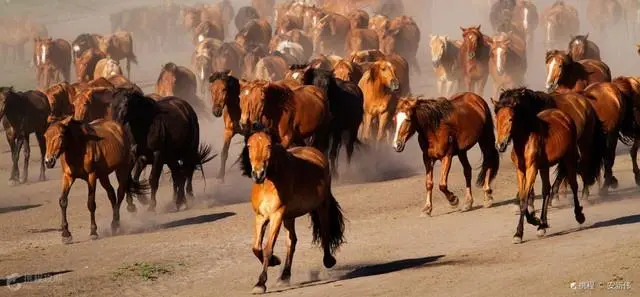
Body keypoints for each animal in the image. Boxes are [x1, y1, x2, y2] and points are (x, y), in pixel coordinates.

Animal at [239, 129, 344, 294]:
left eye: (269, 145)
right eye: (249, 146)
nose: (258, 174)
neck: (268, 183)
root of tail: (316, 153)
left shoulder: (276, 215)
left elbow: (268, 248)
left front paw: (261, 283)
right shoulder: (261, 217)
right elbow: (256, 247)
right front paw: (274, 261)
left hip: (322, 205)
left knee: (325, 231)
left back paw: (328, 260)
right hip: (289, 216)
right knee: (292, 241)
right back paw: (284, 276)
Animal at [492, 88, 588, 243]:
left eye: (511, 119)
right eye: (496, 119)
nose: (500, 145)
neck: (524, 141)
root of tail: (563, 116)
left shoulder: (532, 169)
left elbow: (525, 198)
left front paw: (519, 233)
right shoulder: (521, 171)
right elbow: (523, 198)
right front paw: (534, 221)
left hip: (569, 158)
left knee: (573, 185)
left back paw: (579, 216)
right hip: (544, 167)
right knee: (546, 191)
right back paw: (542, 225)